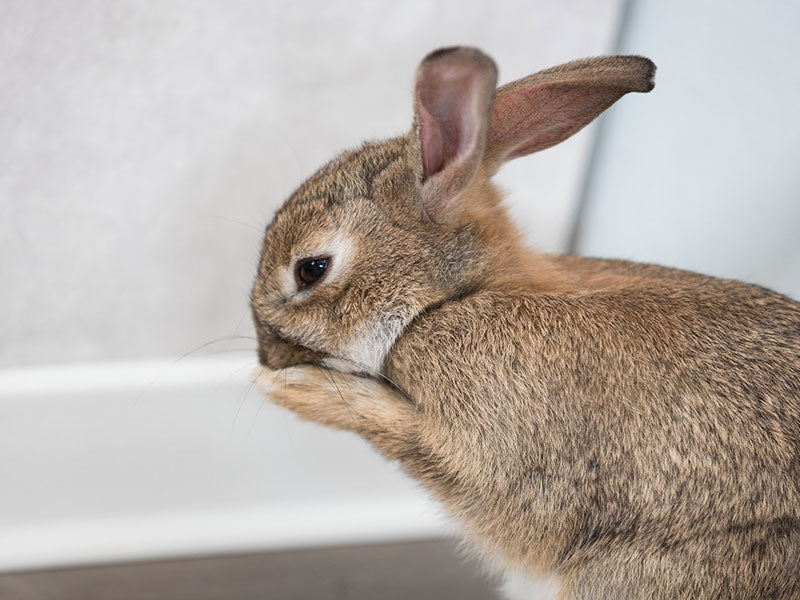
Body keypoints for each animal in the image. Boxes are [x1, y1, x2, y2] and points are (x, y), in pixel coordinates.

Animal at [249, 47, 800, 599]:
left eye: (311, 269)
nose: (266, 356)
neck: (463, 295)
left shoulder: (496, 461)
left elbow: (399, 433)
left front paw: (295, 391)